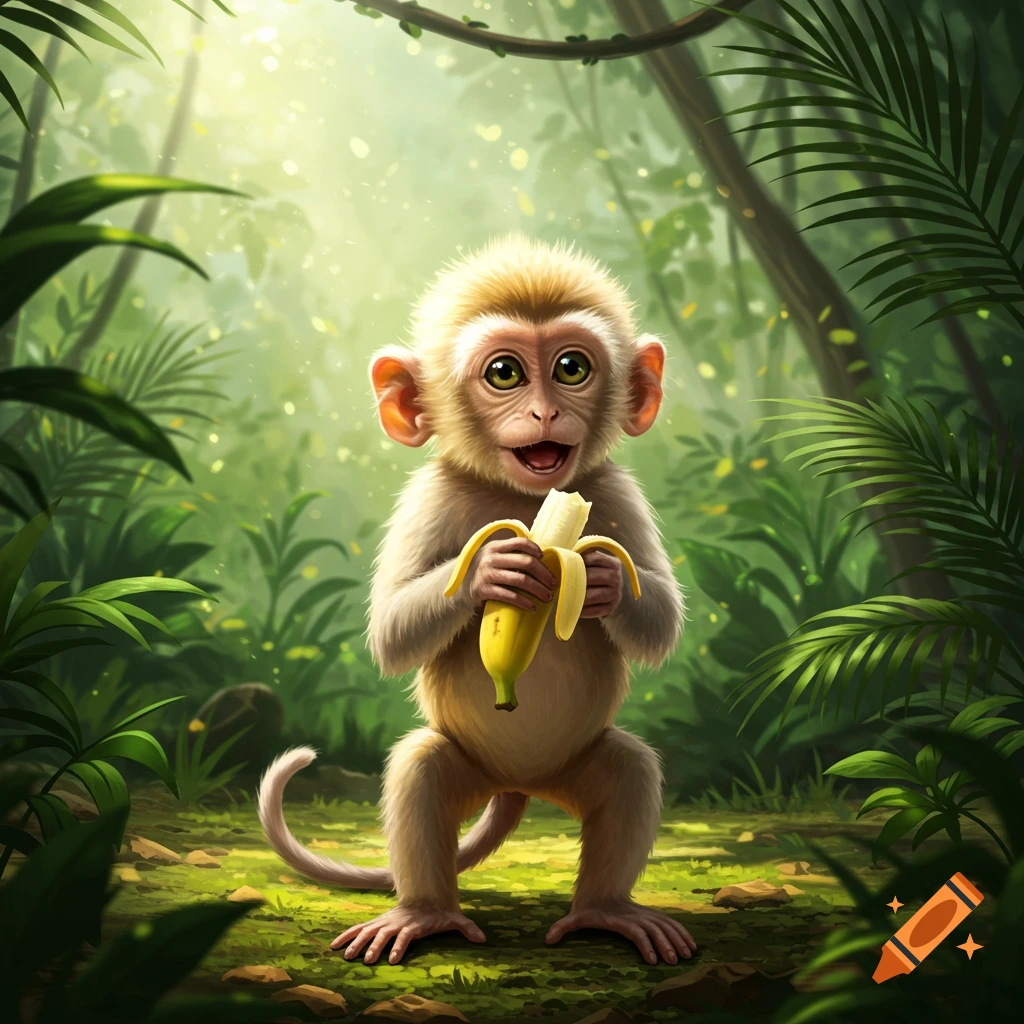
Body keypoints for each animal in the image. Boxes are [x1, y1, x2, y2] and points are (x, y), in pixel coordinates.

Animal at [258, 234, 691, 968]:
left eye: (572, 367)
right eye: (505, 374)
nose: (546, 411)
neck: (523, 498)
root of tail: (522, 782)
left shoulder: (615, 489)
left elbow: (661, 622)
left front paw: (601, 578)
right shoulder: (428, 496)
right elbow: (390, 634)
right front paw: (496, 570)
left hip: (575, 763)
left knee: (629, 771)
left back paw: (605, 910)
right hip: (470, 761)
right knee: (423, 772)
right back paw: (424, 913)